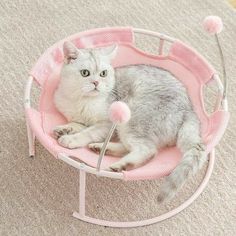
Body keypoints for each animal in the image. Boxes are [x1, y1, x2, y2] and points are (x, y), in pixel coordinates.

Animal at [53, 41, 206, 202]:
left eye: (103, 73)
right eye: (85, 73)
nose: (96, 82)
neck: (80, 99)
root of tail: (189, 110)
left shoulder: (107, 123)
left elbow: (88, 132)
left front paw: (70, 139)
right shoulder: (79, 118)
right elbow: (77, 124)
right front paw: (64, 129)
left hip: (132, 119)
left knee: (147, 150)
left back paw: (120, 165)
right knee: (129, 147)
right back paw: (101, 148)